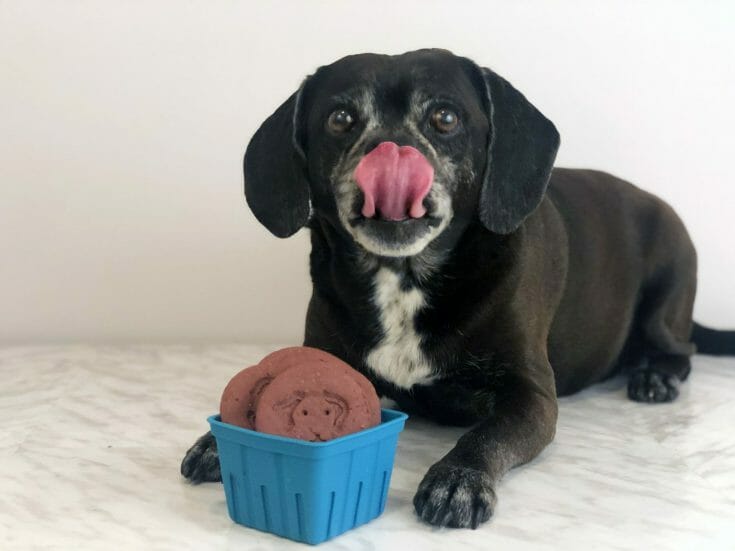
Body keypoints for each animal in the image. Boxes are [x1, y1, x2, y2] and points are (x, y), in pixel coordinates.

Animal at [180, 48, 735, 532]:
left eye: (444, 118)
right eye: (340, 119)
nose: (389, 150)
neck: (403, 277)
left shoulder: (532, 395)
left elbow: (485, 436)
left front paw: (457, 480)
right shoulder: (324, 356)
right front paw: (214, 442)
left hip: (666, 291)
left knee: (681, 348)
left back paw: (655, 377)